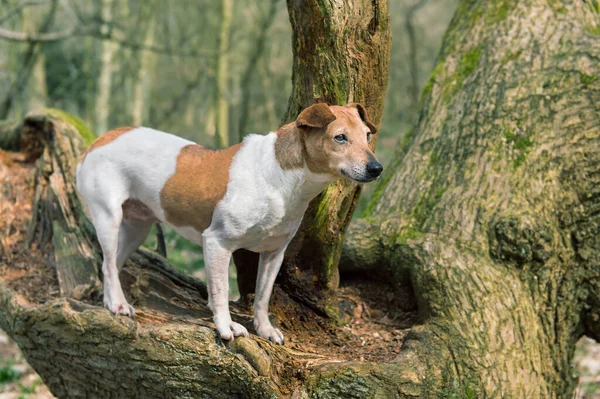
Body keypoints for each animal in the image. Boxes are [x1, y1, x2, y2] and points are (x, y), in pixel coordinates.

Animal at [76, 102, 384, 344]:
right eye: (340, 138)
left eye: (368, 136)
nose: (377, 168)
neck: (280, 177)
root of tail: (99, 141)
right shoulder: (217, 243)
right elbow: (222, 290)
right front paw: (226, 327)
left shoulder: (274, 253)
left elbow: (262, 296)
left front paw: (265, 329)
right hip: (108, 217)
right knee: (108, 262)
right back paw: (118, 303)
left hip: (137, 228)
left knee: (111, 265)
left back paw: (111, 301)